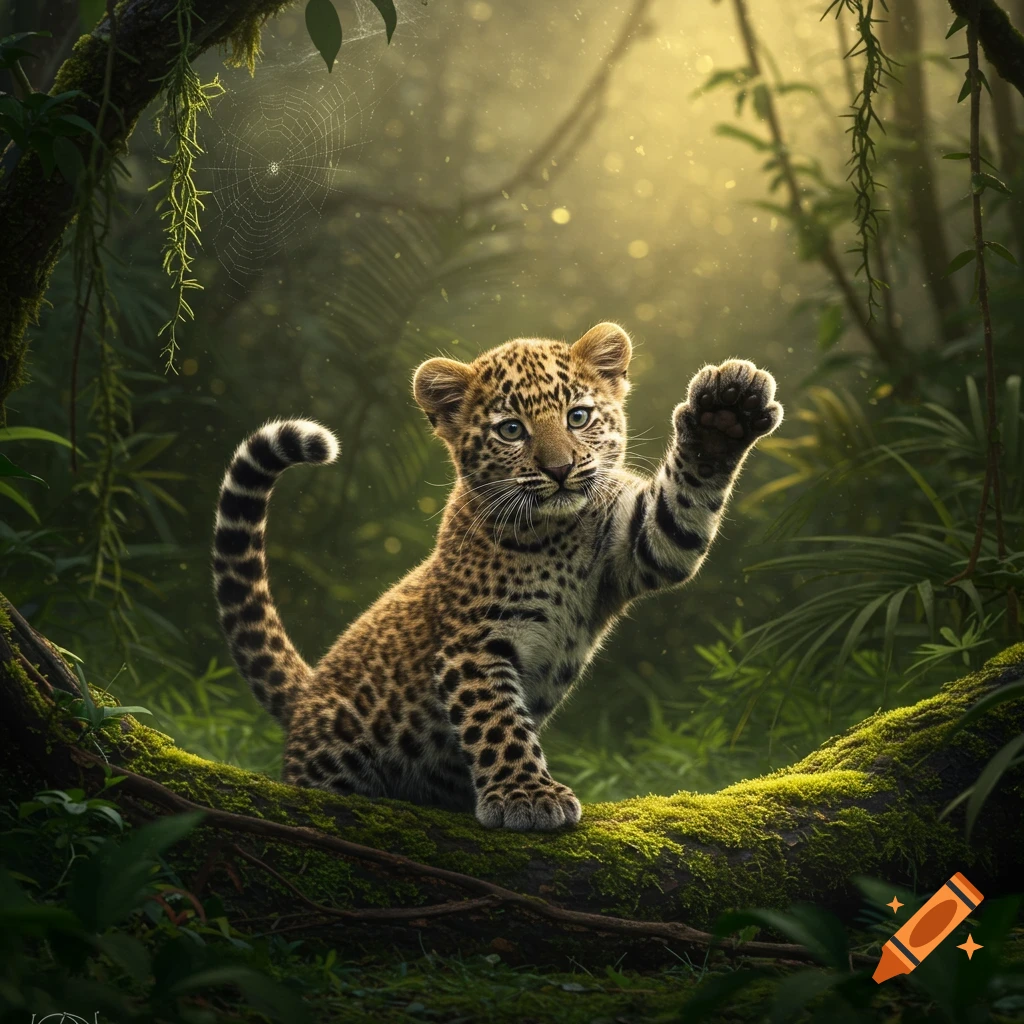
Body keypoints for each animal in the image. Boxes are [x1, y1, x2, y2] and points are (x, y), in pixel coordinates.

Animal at [211, 322, 783, 830]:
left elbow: (680, 511)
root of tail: (305, 697)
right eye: (512, 430)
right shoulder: (474, 641)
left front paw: (725, 413)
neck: (556, 533)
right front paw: (526, 797)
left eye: (578, 417)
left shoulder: (639, 547)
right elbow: (498, 723)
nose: (560, 469)